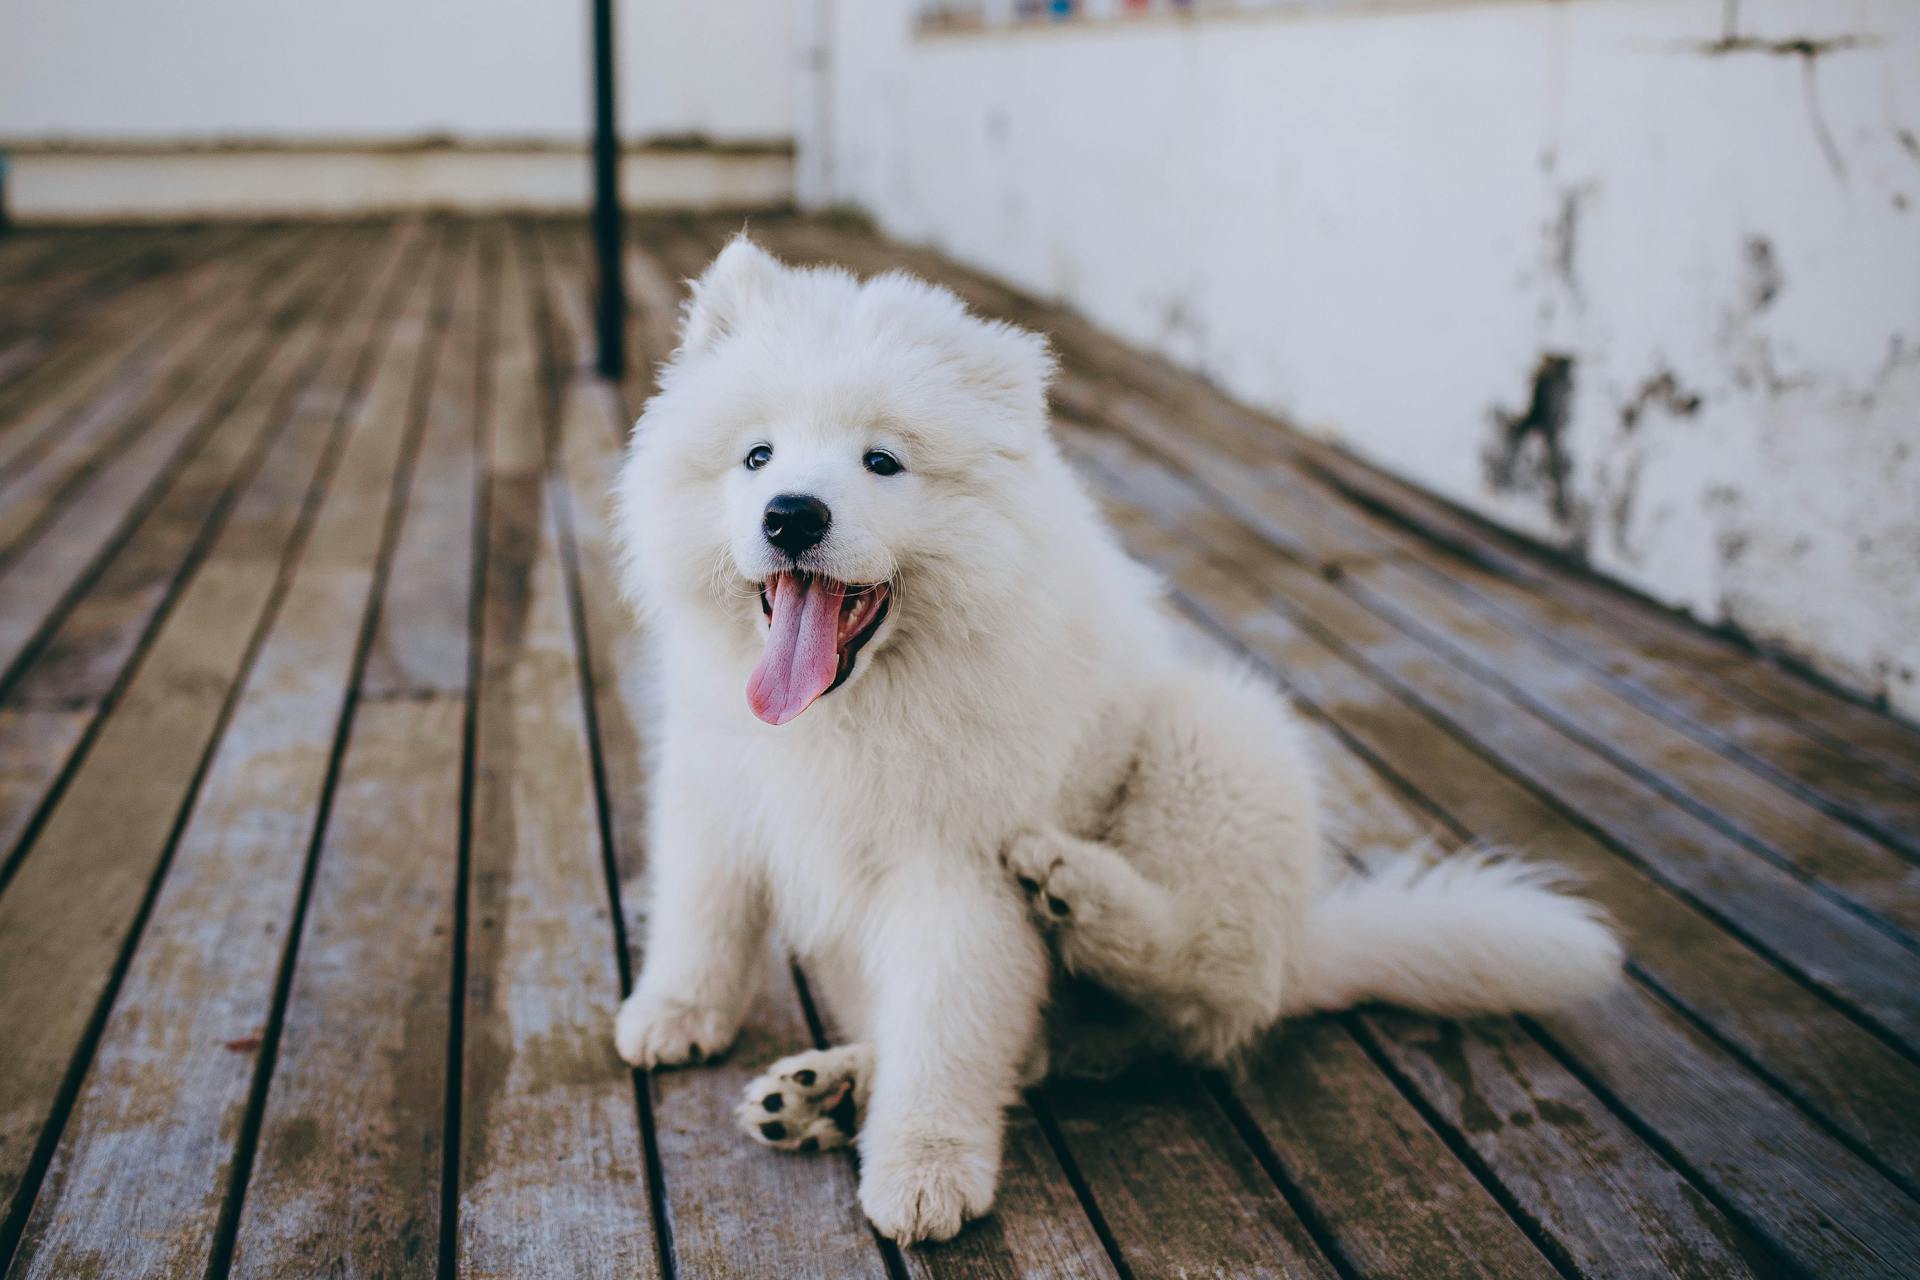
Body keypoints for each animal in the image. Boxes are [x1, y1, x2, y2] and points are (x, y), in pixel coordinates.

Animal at [602, 237, 1620, 1243]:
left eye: (881, 462)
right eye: (757, 455)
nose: (790, 514)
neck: (858, 703)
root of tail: (1300, 949)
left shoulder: (955, 872)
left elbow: (945, 1034)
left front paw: (925, 1169)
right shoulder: (716, 790)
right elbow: (703, 912)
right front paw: (674, 1012)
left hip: (1217, 739)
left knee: (1197, 978)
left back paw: (1072, 890)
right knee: (1040, 1051)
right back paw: (829, 1091)